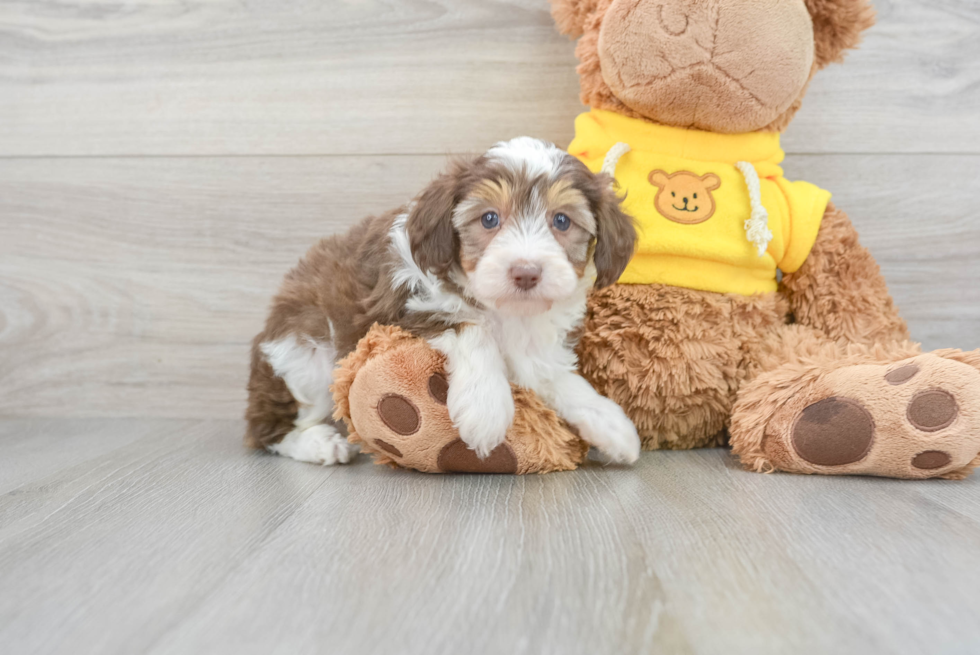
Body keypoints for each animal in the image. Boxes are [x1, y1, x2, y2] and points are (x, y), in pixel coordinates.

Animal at [249, 137, 640, 466]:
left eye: (561, 220)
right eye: (489, 219)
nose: (526, 273)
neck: (507, 311)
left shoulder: (537, 345)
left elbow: (554, 375)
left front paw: (608, 421)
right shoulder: (400, 306)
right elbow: (471, 327)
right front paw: (486, 408)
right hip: (305, 355)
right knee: (267, 429)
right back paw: (319, 444)